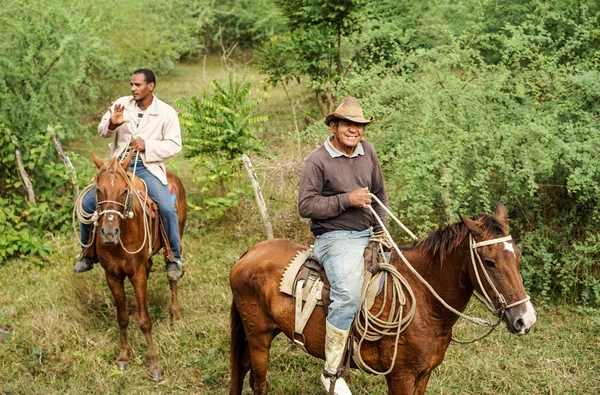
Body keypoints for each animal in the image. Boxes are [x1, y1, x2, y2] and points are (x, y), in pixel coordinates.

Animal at [89, 152, 185, 380]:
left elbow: (145, 320)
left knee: (172, 275)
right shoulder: (112, 276)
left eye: (125, 191)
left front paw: (154, 363)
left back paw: (175, 313)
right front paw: (123, 356)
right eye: (98, 190)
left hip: (176, 237)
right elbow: (121, 317)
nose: (109, 233)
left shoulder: (138, 273)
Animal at [231, 204, 540, 395]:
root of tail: (251, 252)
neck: (424, 300)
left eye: (518, 257)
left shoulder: (424, 374)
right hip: (258, 336)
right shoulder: (401, 376)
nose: (525, 320)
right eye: (489, 262)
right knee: (259, 384)